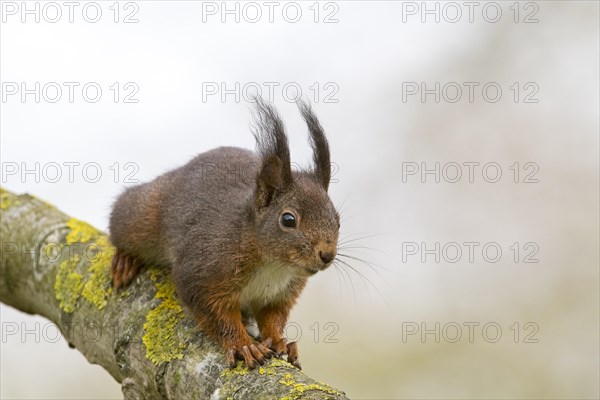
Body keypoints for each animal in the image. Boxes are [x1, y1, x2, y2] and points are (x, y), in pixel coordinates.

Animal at [109, 99, 340, 368]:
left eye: (337, 219)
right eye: (288, 219)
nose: (327, 255)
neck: (273, 264)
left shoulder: (281, 293)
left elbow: (273, 317)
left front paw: (279, 341)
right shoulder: (205, 269)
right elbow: (215, 314)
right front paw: (243, 345)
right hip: (144, 217)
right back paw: (125, 260)